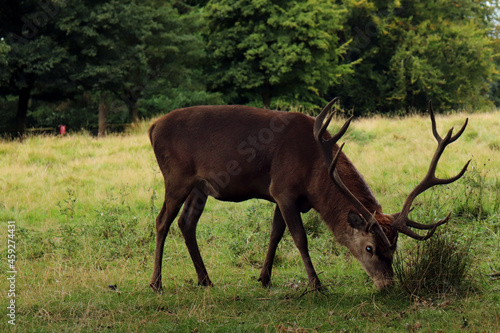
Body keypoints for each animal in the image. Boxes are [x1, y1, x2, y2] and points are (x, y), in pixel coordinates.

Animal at [148, 97, 468, 290]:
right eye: (369, 248)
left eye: (394, 248)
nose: (387, 284)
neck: (315, 174)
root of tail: (152, 127)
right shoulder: (283, 189)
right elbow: (299, 237)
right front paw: (316, 283)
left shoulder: (284, 196)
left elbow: (276, 234)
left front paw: (264, 278)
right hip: (176, 177)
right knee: (162, 221)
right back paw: (156, 282)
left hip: (199, 186)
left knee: (186, 222)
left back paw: (205, 279)